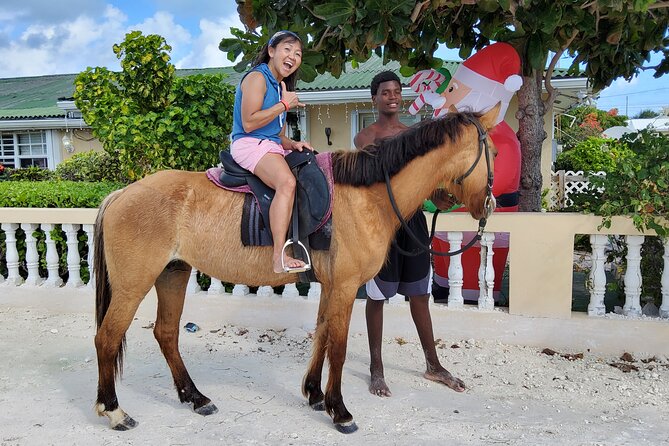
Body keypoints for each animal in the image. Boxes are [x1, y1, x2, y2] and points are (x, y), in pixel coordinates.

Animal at [92, 104, 496, 432]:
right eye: (491, 151)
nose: (488, 205)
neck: (367, 196)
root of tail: (122, 194)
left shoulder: (331, 287)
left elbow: (322, 335)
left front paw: (315, 394)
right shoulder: (345, 287)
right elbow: (338, 346)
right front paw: (340, 410)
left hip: (173, 273)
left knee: (166, 334)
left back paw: (195, 397)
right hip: (133, 284)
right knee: (107, 338)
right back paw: (113, 410)